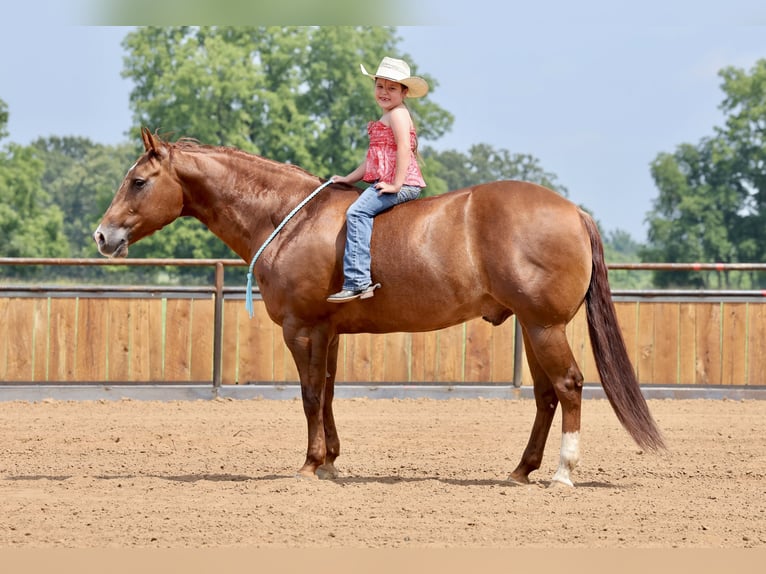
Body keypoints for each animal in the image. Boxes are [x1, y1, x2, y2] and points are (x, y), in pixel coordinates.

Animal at [94, 128, 665, 486]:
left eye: (138, 181)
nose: (103, 235)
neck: (290, 219)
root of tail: (573, 211)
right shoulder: (329, 332)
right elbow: (326, 393)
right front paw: (330, 462)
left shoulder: (302, 329)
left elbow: (309, 395)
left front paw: (310, 465)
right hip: (532, 327)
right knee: (546, 397)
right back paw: (521, 470)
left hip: (545, 327)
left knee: (569, 387)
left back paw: (563, 473)